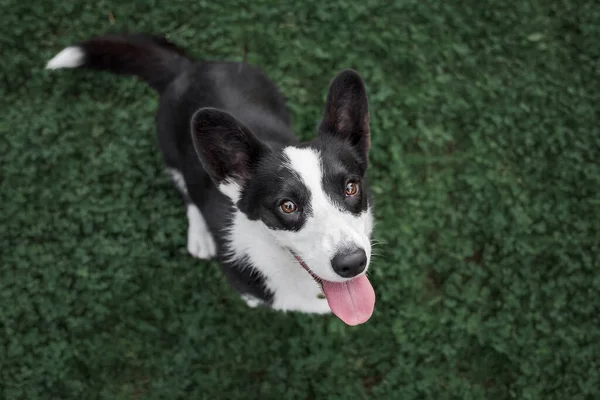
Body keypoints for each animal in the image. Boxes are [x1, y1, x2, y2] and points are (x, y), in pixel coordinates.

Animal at [47, 32, 376, 324]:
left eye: (350, 187)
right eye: (287, 206)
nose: (352, 264)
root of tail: (189, 67)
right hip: (170, 150)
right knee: (186, 191)